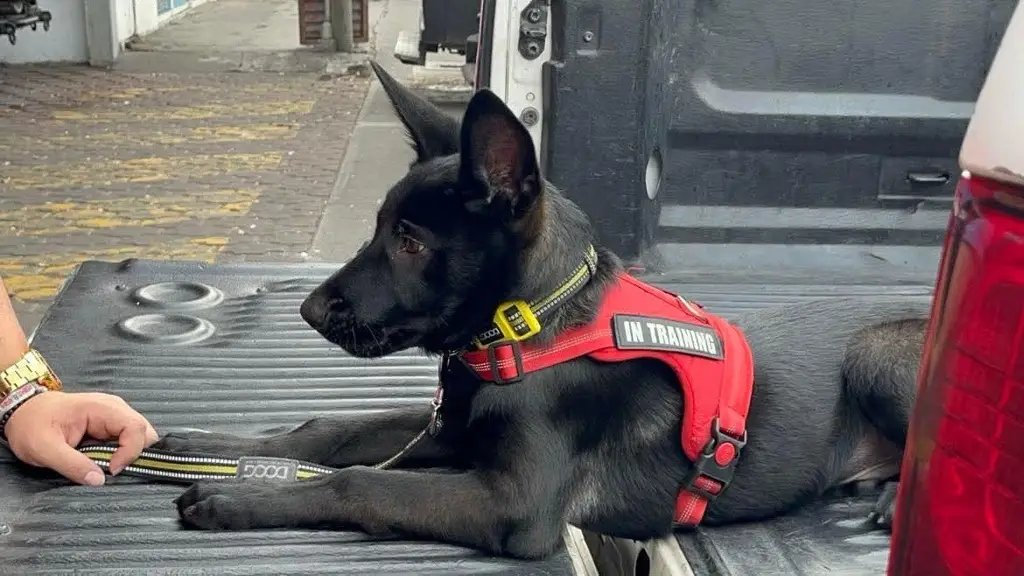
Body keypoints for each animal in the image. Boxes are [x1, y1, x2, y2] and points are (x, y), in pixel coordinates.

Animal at [153, 61, 937, 557]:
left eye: (410, 242)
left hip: (880, 352)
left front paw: (236, 500)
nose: (310, 310)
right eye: (378, 228)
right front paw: (212, 448)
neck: (528, 328)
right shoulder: (453, 427)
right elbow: (329, 431)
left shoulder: (514, 504)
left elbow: (361, 481)